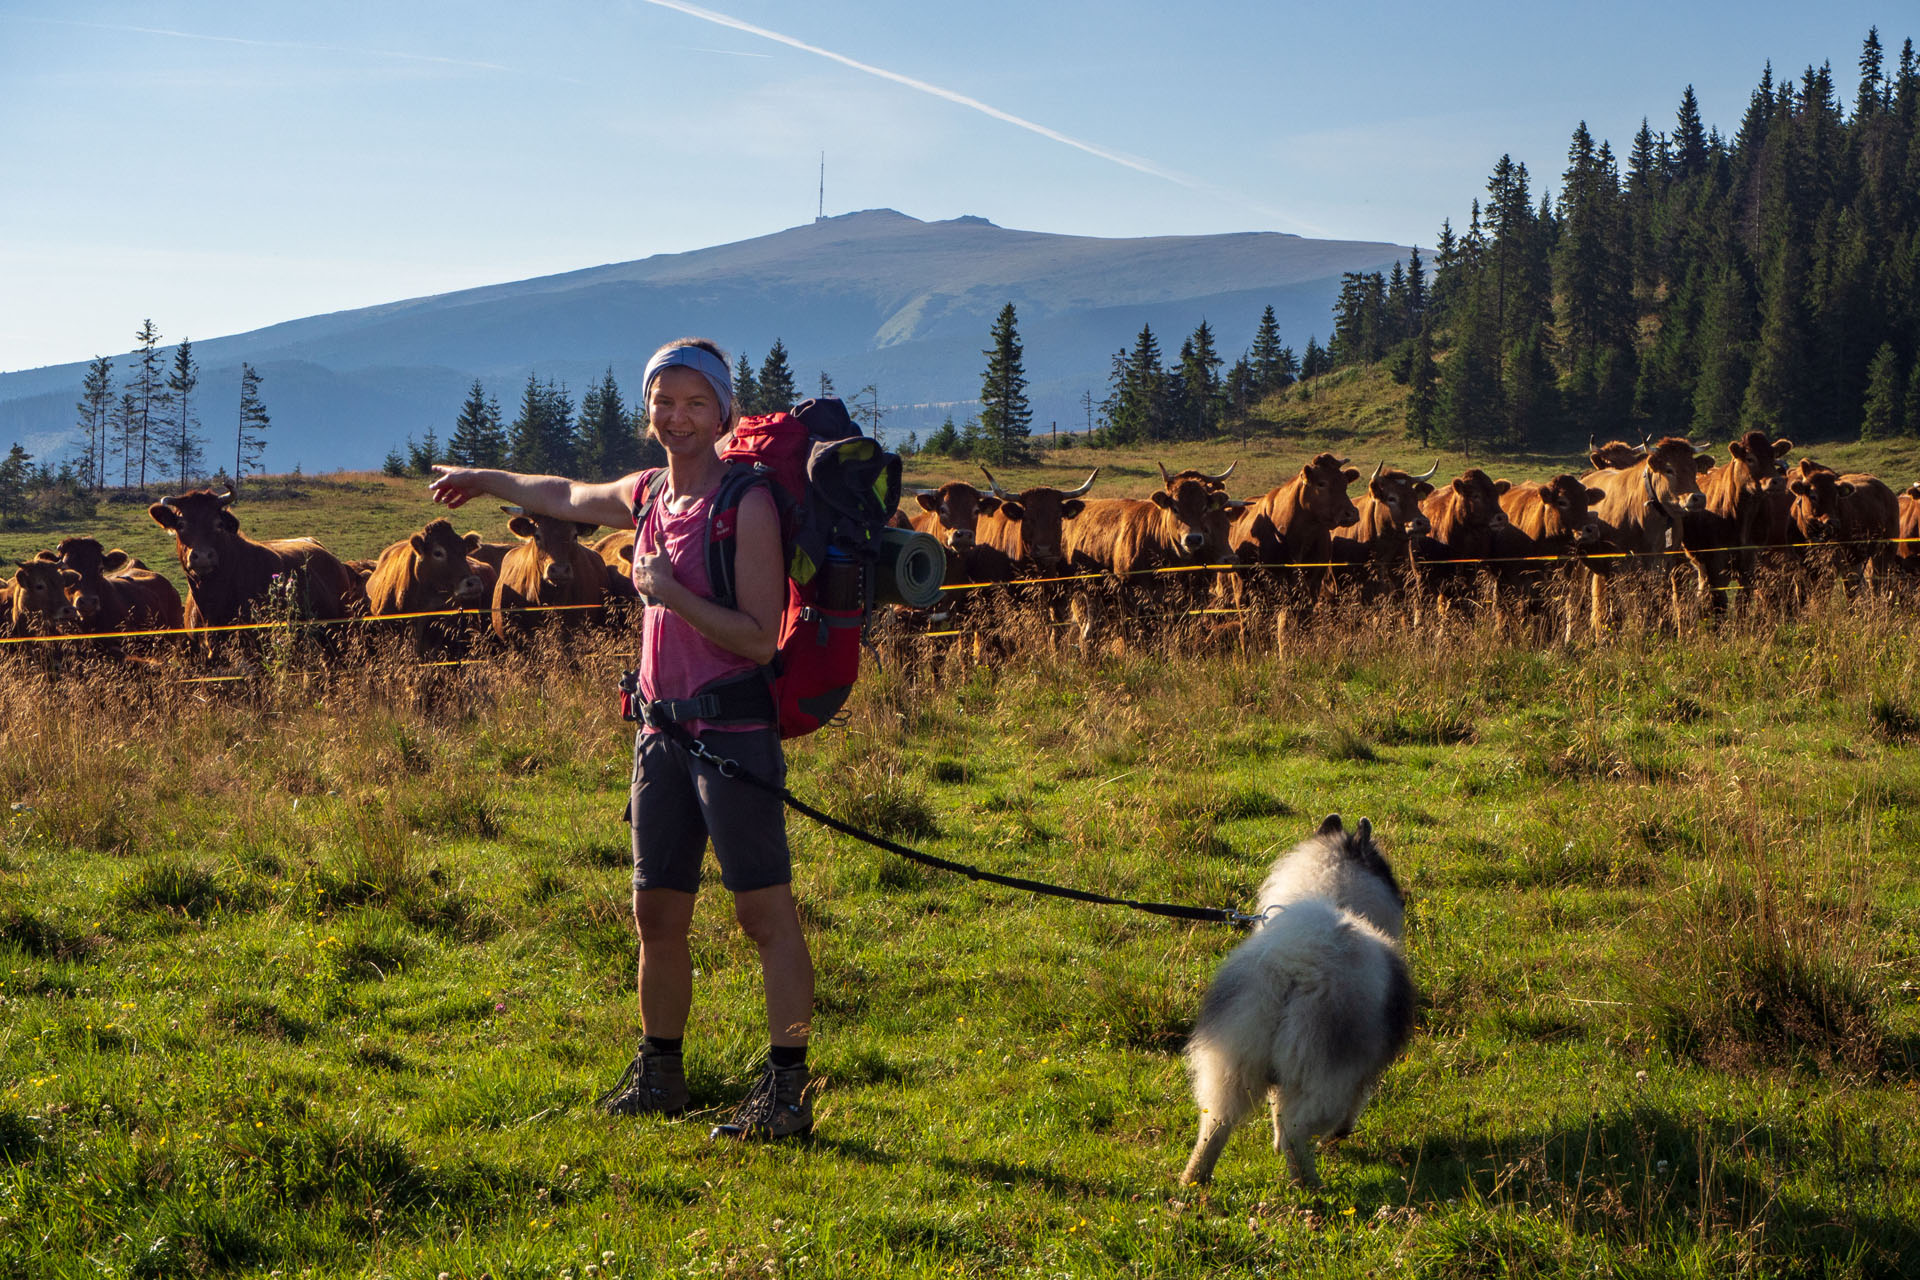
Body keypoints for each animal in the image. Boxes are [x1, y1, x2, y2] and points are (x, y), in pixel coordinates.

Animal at [1175, 817, 1420, 1189]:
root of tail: (1297, 965)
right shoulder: (1360, 1070)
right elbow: (1353, 1104)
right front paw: (1338, 1136)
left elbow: (1274, 1108)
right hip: (1322, 1073)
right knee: (1296, 1130)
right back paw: (1309, 1186)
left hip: (1232, 1061)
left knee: (1216, 1125)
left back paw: (1194, 1180)